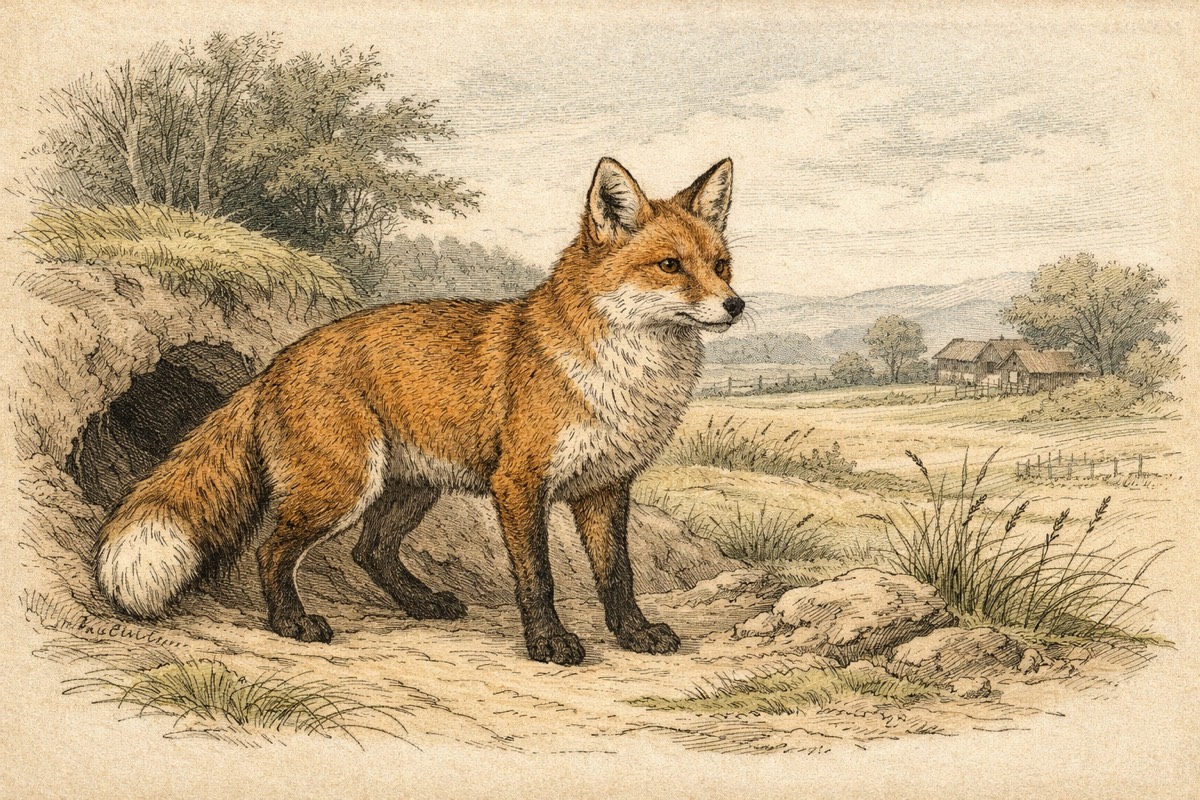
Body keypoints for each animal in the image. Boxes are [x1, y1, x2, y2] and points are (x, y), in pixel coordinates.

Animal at [96, 156, 743, 666]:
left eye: (720, 265)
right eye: (670, 266)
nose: (735, 305)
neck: (620, 378)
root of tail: (275, 363)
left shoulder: (604, 486)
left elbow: (617, 576)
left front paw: (634, 634)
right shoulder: (520, 484)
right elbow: (538, 578)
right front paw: (549, 643)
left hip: (410, 489)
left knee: (369, 551)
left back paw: (422, 603)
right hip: (343, 487)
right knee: (272, 550)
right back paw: (292, 624)